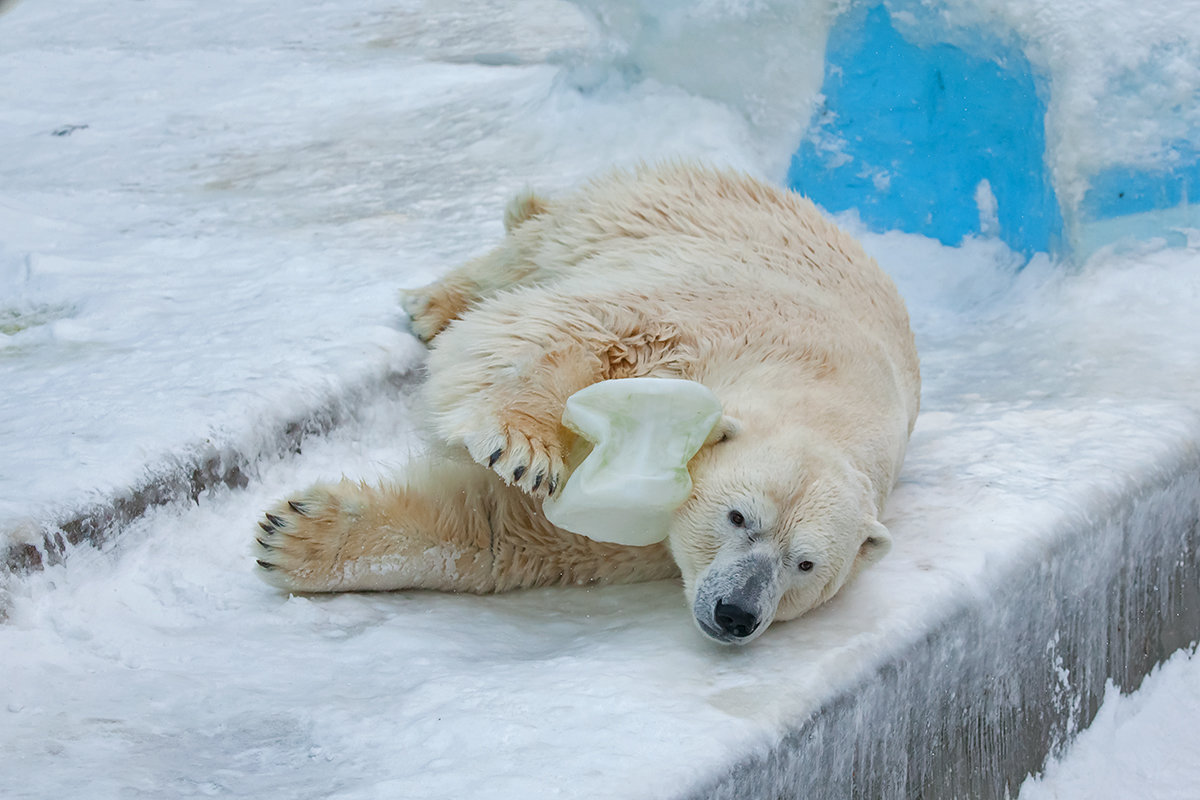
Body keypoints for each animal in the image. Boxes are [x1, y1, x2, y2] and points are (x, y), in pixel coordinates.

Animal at [255, 163, 916, 642]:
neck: (825, 389)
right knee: (534, 248)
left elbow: (516, 531)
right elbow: (581, 328)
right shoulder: (725, 315)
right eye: (737, 517)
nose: (736, 614)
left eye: (806, 564)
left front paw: (299, 537)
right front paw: (524, 448)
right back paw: (435, 303)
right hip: (652, 214)